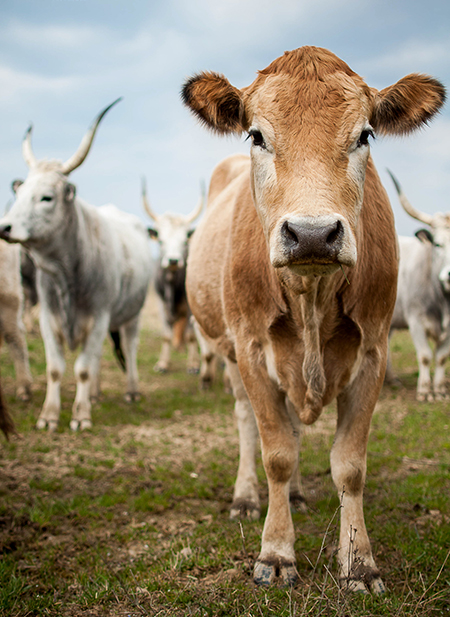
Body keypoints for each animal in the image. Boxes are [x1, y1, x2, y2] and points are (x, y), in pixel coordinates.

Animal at [0, 100, 153, 428]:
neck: (67, 274)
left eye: (46, 198)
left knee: (129, 349)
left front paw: (80, 415)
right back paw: (94, 394)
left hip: (131, 315)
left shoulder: (99, 316)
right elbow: (56, 368)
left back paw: (131, 391)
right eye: (19, 193)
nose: (5, 227)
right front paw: (49, 415)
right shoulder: (48, 318)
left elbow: (81, 368)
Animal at [384, 168, 450, 402]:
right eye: (438, 244)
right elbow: (425, 356)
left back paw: (390, 379)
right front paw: (424, 391)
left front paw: (439, 390)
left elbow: (441, 357)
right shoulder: (416, 322)